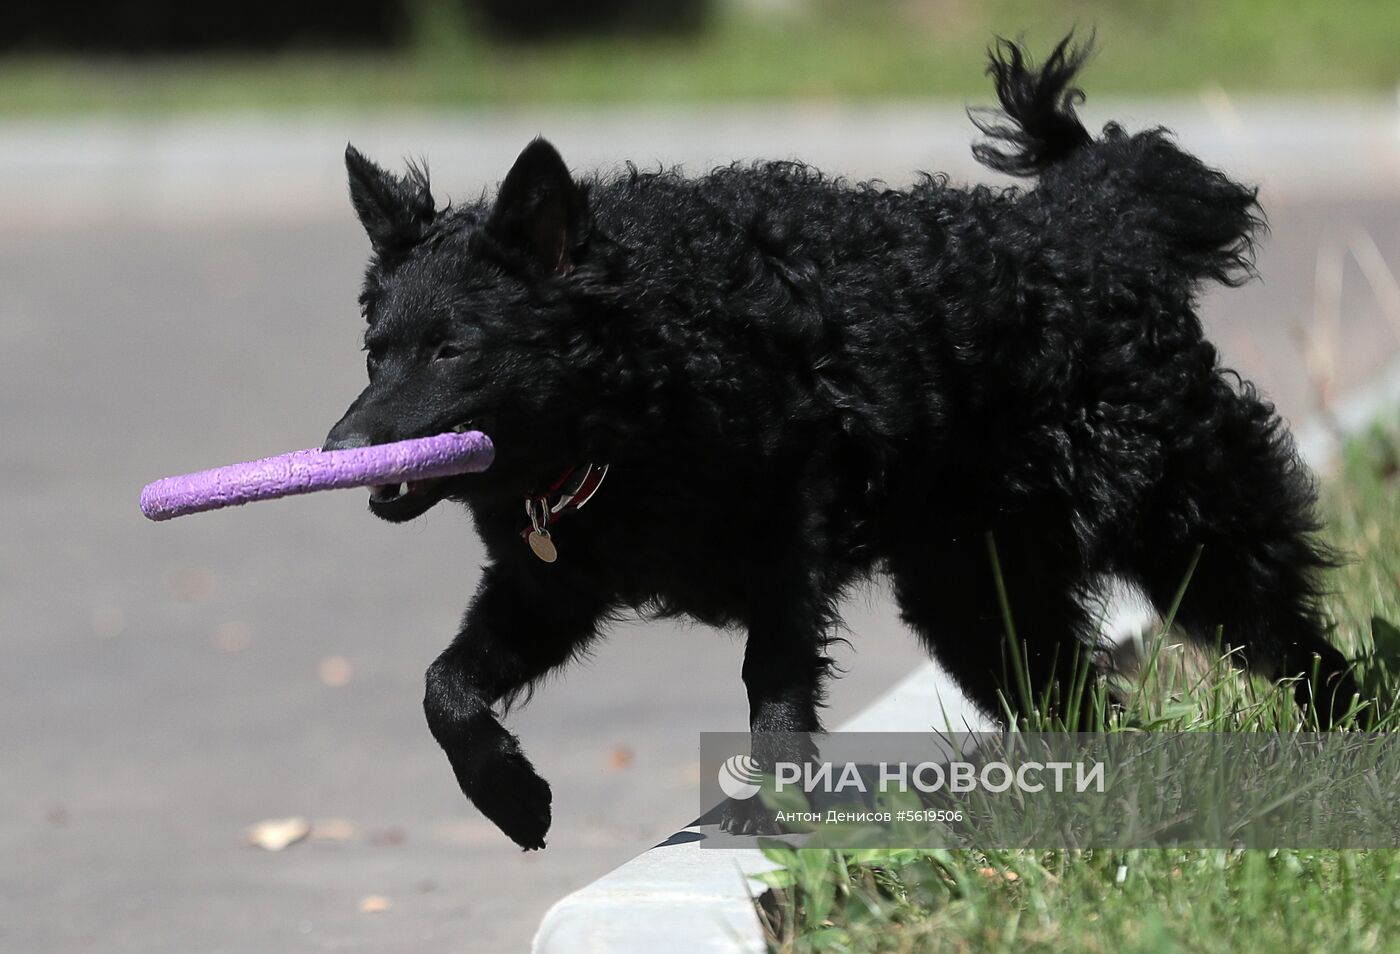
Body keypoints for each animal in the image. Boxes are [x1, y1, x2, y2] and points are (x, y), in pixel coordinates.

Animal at [324, 37, 1355, 846]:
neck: (638, 385)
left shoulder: (786, 550)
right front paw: (509, 796)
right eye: (375, 349)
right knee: (1080, 703)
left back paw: (1350, 745)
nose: (341, 446)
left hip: (1185, 524)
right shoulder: (550, 590)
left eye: (454, 348)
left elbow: (772, 686)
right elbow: (445, 687)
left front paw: (772, 810)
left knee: (1292, 640)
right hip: (975, 594)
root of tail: (1085, 225)